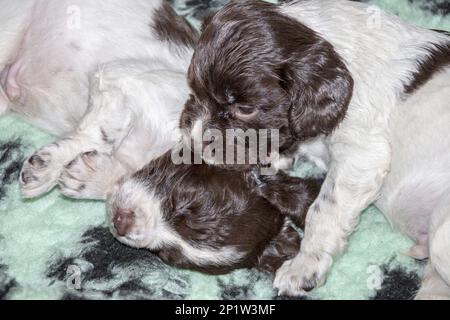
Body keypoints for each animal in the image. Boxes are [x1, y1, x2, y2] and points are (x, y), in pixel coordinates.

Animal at [179, 0, 450, 298]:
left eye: (245, 109)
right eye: (194, 90)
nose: (194, 140)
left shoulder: (362, 155)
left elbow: (323, 210)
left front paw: (304, 266)